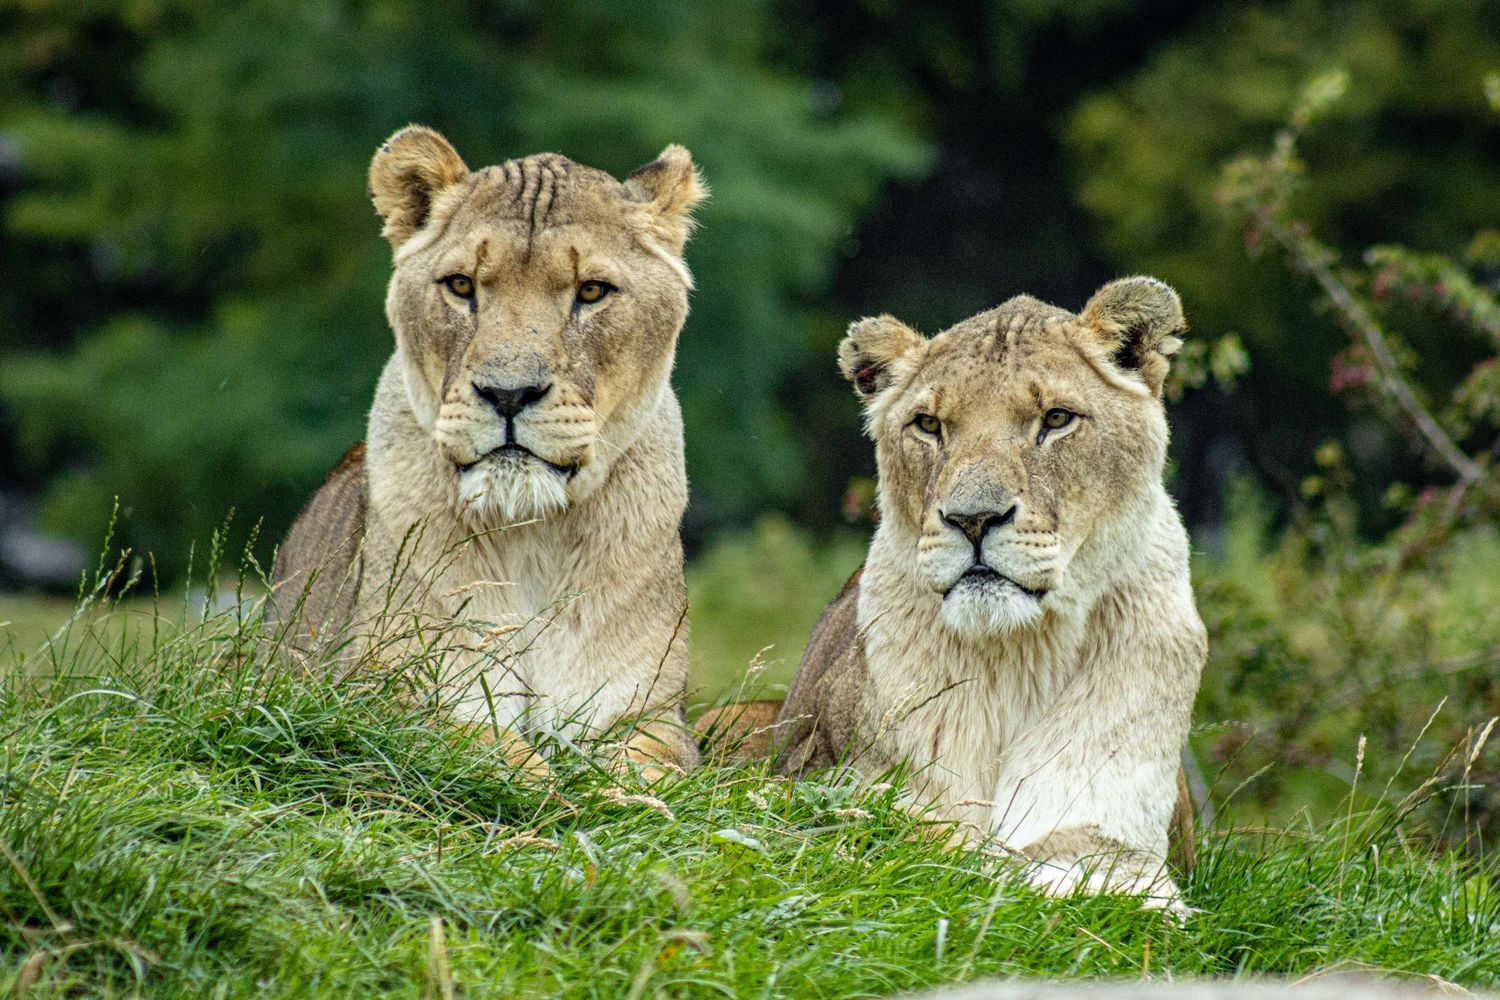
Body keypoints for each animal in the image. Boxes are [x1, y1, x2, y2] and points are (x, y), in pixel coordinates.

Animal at [272, 125, 707, 777]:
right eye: (461, 286)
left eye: (592, 291)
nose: (509, 393)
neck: (530, 537)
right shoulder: (378, 699)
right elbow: (496, 750)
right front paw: (553, 791)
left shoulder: (647, 713)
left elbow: (644, 768)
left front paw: (621, 793)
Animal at [701, 278, 1206, 908]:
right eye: (928, 425)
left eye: (1056, 418)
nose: (972, 518)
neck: (1020, 658)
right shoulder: (832, 782)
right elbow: (934, 842)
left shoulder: (1108, 825)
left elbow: (1104, 874)